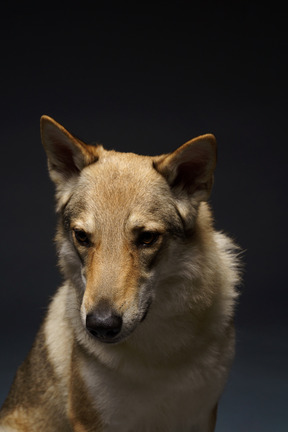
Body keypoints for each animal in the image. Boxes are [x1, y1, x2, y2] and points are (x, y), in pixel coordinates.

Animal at [0, 115, 241, 432]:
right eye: (82, 236)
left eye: (147, 238)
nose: (101, 325)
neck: (160, 355)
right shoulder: (92, 422)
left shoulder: (202, 417)